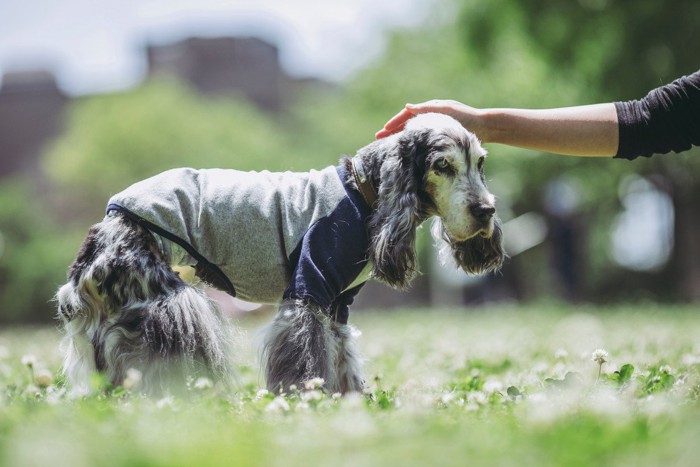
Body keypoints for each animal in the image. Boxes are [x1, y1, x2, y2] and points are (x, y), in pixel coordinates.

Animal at [56, 112, 504, 394]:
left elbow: (342, 362)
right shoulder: (308, 292)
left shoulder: (337, 306)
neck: (362, 193)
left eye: (480, 163)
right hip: (174, 307)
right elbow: (305, 359)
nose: (486, 210)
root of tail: (107, 225)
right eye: (442, 166)